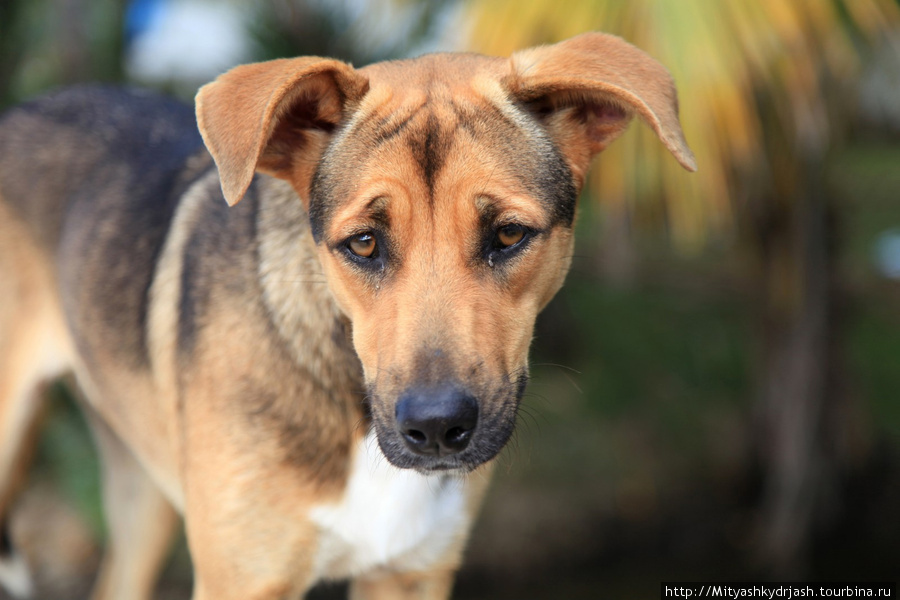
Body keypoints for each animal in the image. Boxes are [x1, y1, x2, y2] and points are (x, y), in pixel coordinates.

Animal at [0, 31, 696, 600]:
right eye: (363, 243)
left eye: (508, 235)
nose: (435, 428)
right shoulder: (243, 579)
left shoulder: (413, 574)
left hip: (142, 490)